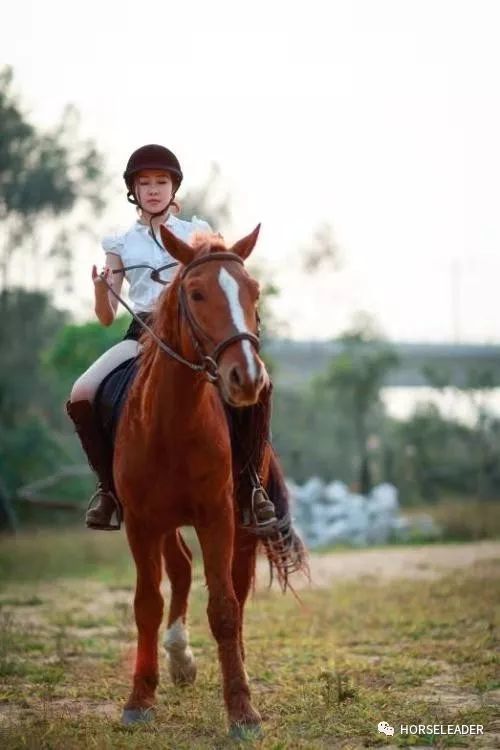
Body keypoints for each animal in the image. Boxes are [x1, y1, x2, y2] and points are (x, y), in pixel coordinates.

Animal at [114, 223, 286, 740]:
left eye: (254, 291)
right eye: (195, 293)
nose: (246, 378)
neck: (172, 420)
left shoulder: (217, 516)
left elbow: (225, 609)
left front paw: (243, 710)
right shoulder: (141, 522)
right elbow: (147, 604)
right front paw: (139, 700)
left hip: (244, 523)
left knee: (237, 588)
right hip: (166, 521)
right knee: (182, 569)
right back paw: (179, 658)